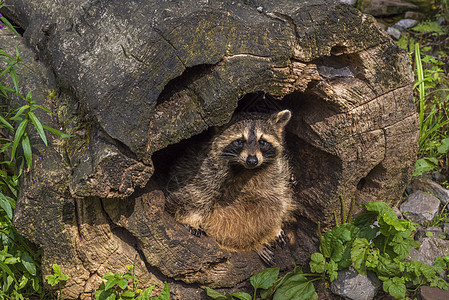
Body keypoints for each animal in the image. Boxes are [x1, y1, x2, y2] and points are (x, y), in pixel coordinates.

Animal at [164, 110, 294, 264]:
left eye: (262, 142)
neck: (246, 170)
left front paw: (273, 230)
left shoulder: (277, 177)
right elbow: (196, 195)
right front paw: (190, 219)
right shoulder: (206, 171)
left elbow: (276, 206)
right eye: (240, 141)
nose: (252, 160)